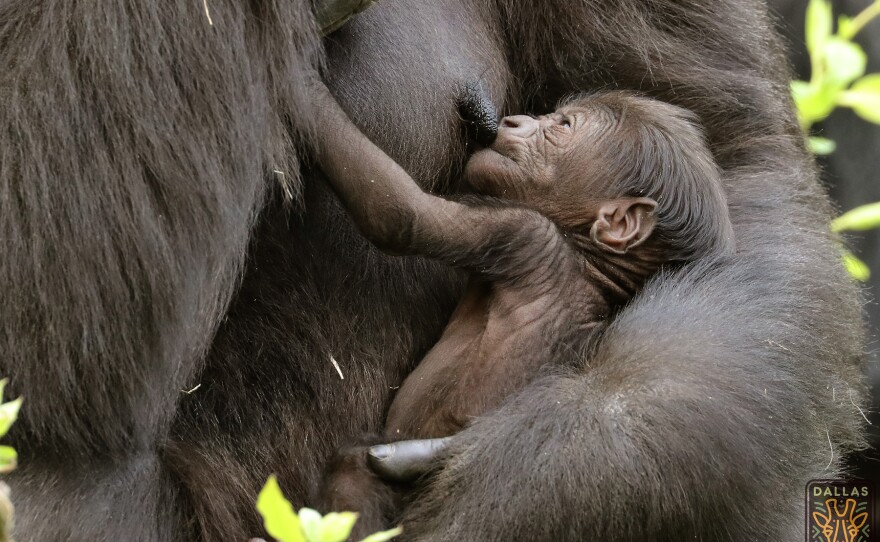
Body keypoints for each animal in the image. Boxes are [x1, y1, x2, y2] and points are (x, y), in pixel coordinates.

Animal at [310, 84, 736, 532]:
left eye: (563, 125)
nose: (515, 121)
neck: (589, 262)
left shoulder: (521, 233)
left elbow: (400, 215)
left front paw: (303, 91)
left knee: (352, 470)